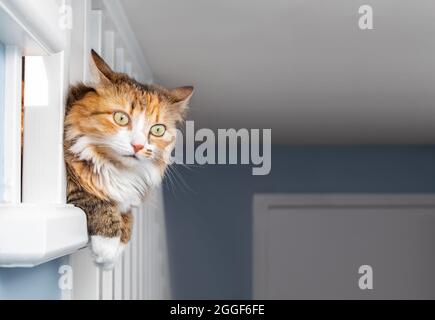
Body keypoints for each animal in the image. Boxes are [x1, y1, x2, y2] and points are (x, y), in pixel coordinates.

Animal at [63, 50, 193, 268]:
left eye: (157, 130)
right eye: (121, 118)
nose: (138, 146)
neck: (117, 170)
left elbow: (128, 216)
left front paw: (116, 251)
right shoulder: (70, 179)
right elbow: (96, 200)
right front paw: (107, 249)